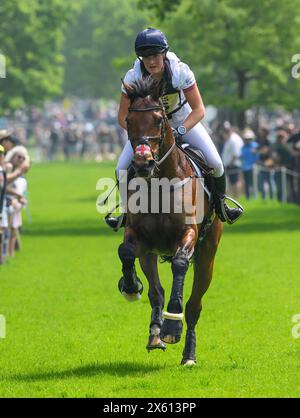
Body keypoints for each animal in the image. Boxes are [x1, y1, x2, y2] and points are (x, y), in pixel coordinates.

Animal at [117, 78, 223, 366]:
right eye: (129, 120)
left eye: (158, 119)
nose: (143, 162)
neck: (160, 183)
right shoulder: (139, 236)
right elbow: (125, 251)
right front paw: (130, 287)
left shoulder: (188, 233)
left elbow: (179, 263)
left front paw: (173, 325)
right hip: (150, 254)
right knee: (156, 292)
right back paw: (155, 335)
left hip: (207, 255)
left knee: (195, 305)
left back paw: (188, 355)